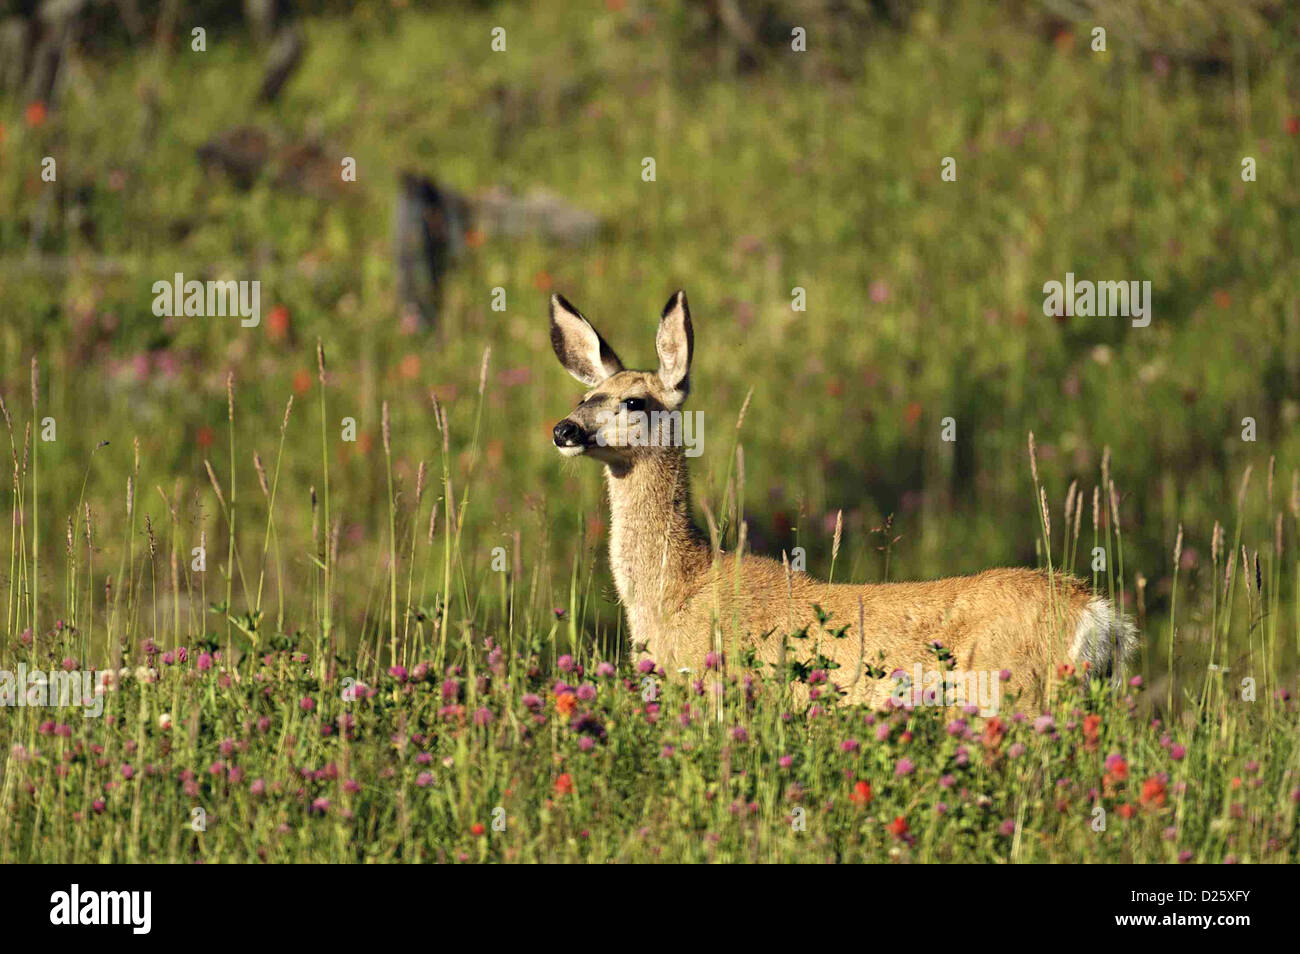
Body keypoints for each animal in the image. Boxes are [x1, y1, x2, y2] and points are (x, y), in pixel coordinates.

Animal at [548, 289, 1138, 712]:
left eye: (634, 401)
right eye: (584, 396)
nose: (564, 429)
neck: (678, 590)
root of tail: (1098, 618)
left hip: (1014, 695)